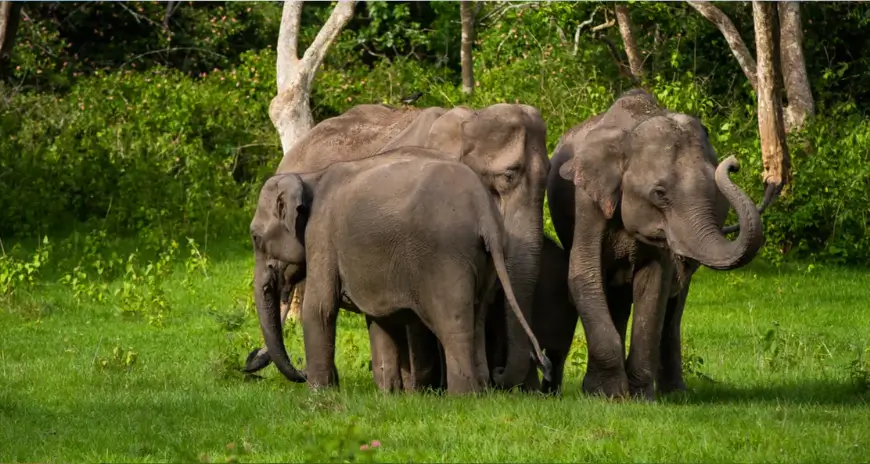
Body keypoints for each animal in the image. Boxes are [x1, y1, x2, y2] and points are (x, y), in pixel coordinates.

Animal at [547, 89, 765, 400]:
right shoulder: (587, 202)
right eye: (660, 194)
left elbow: (654, 287)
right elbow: (584, 275)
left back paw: (675, 394)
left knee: (672, 311)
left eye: (715, 194)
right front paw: (608, 395)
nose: (733, 164)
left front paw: (639, 397)